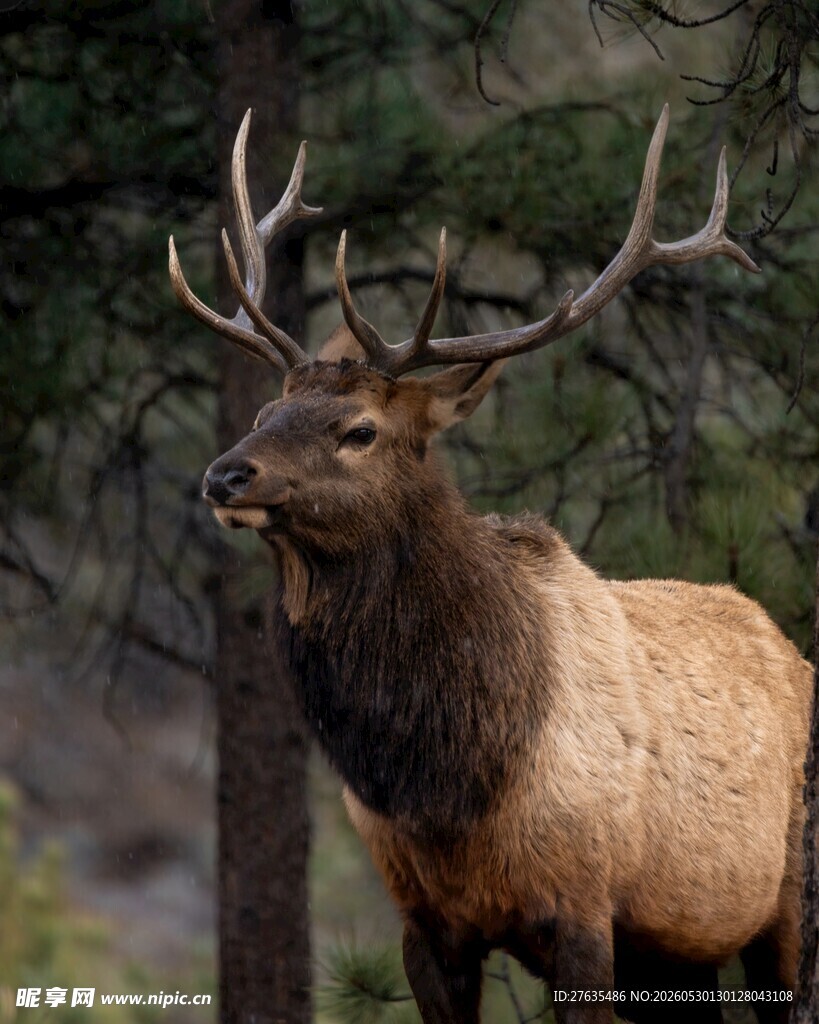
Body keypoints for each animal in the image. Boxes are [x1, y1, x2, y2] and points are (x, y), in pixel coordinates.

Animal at [169, 107, 813, 1024]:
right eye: (265, 411)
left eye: (360, 429)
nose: (226, 474)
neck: (446, 784)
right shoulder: (425, 922)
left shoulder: (582, 907)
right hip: (677, 949)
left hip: (784, 904)